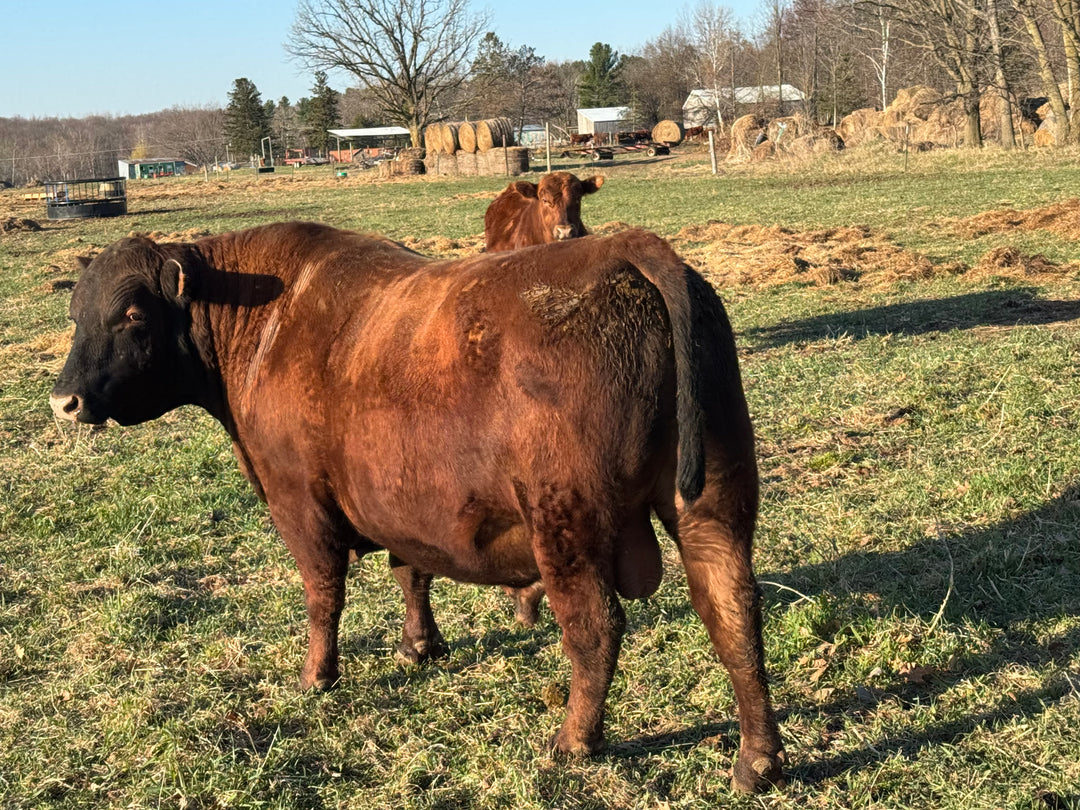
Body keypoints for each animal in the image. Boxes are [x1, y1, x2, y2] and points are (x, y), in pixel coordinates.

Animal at [50, 222, 785, 793]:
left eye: (132, 314)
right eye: (76, 315)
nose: (65, 401)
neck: (263, 323)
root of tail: (627, 249)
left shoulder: (299, 503)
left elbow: (323, 596)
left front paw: (317, 675)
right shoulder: (400, 506)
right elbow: (412, 573)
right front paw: (419, 646)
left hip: (566, 524)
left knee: (596, 628)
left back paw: (574, 740)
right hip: (713, 505)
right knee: (734, 613)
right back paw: (759, 761)